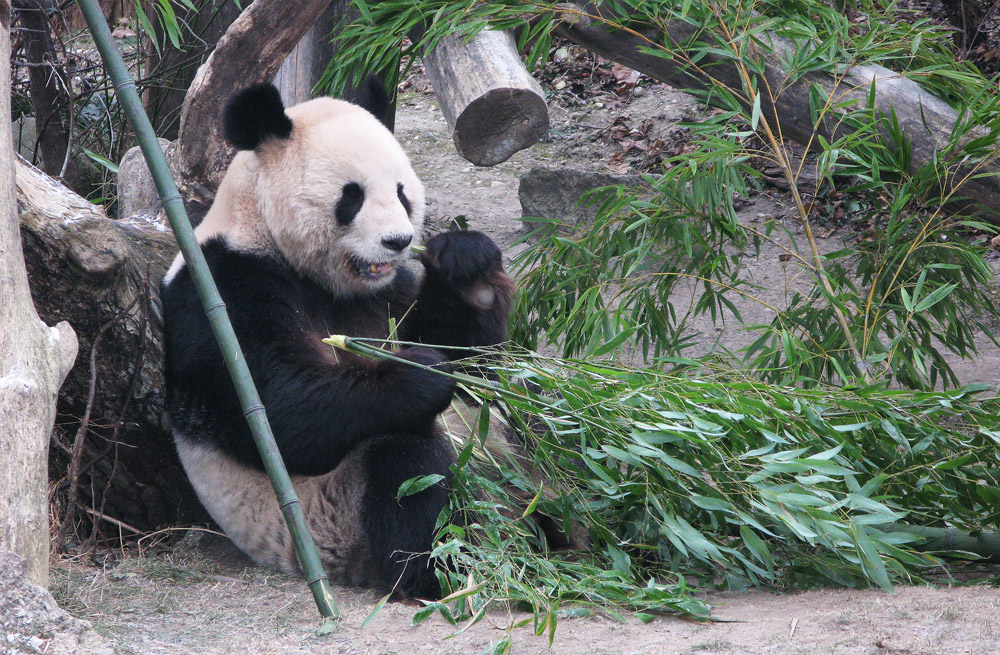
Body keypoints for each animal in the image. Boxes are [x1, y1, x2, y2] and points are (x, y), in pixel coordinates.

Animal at [158, 80, 516, 600]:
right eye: (352, 196)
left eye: (402, 193)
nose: (398, 241)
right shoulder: (221, 291)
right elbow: (280, 410)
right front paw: (421, 373)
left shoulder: (386, 295)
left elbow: (470, 354)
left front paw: (468, 268)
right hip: (334, 516)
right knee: (409, 460)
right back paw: (437, 569)